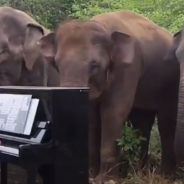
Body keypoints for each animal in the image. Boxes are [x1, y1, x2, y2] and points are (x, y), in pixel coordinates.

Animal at [37, 11, 180, 183]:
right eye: (57, 64)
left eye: (94, 65)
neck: (103, 26)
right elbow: (91, 116)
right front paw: (91, 175)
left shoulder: (128, 67)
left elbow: (113, 112)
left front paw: (106, 180)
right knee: (142, 120)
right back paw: (139, 172)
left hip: (170, 84)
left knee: (166, 121)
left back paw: (165, 176)